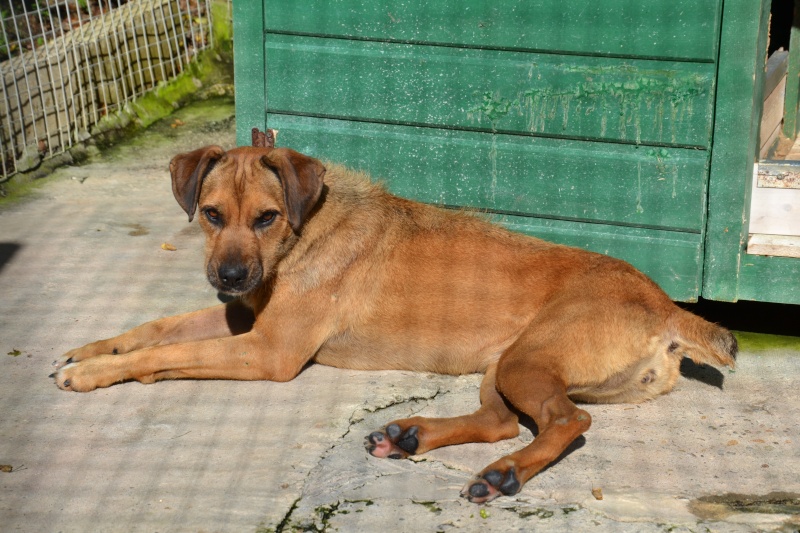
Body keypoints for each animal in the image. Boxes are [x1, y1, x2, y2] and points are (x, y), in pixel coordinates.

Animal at [51, 145, 736, 502]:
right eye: (212, 214)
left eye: (267, 217)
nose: (231, 276)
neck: (302, 233)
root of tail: (668, 305)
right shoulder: (242, 320)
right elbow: (154, 329)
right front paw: (91, 350)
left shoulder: (268, 352)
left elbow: (161, 355)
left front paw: (95, 374)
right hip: (504, 363)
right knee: (500, 421)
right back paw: (410, 436)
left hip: (525, 361)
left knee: (568, 422)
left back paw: (505, 473)